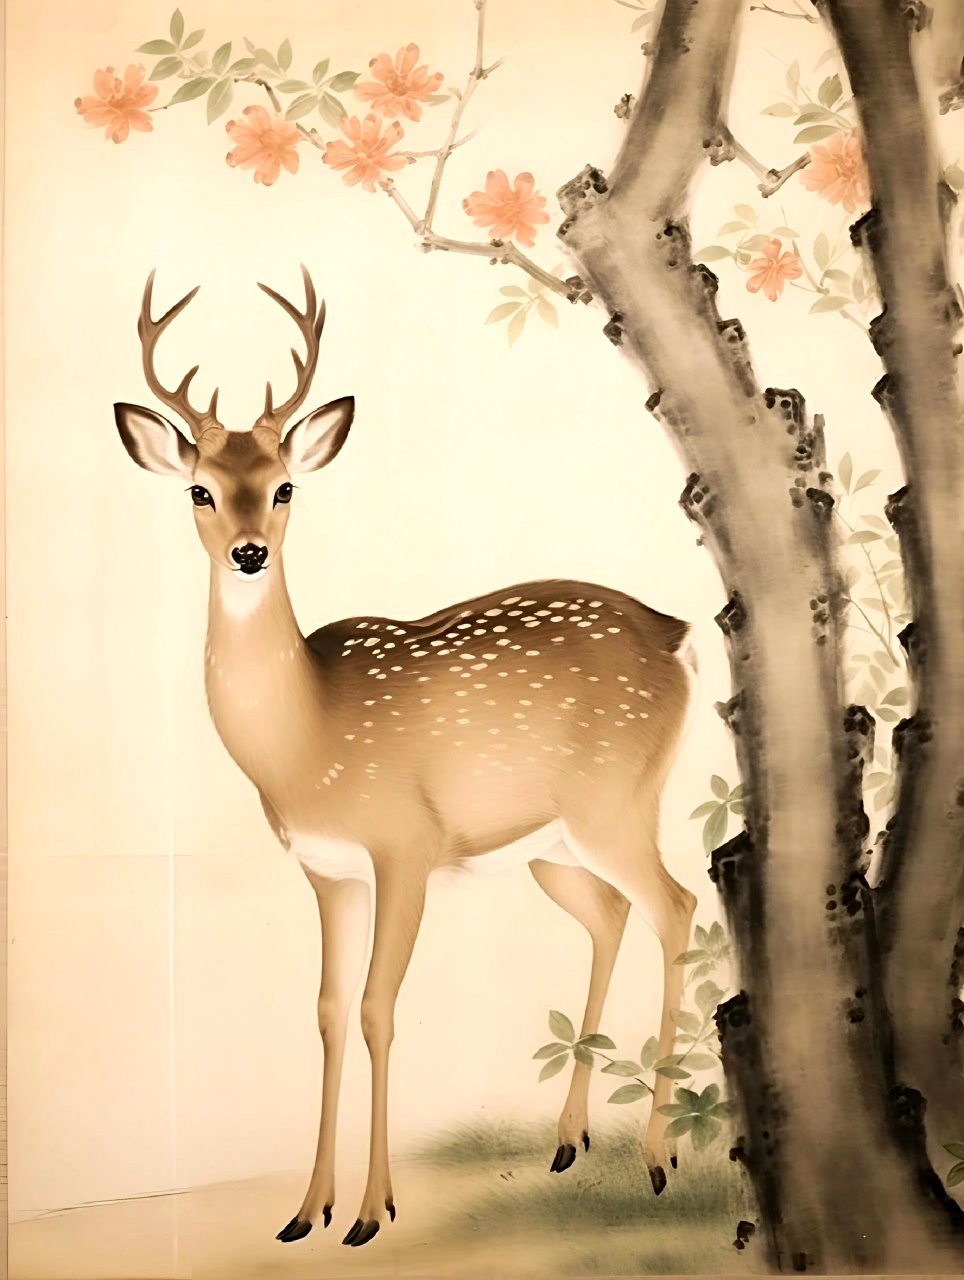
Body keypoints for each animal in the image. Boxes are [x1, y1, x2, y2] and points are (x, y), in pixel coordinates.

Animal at [114, 265, 698, 1249]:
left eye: (284, 488)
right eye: (198, 490)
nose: (247, 552)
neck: (309, 735)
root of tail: (676, 633)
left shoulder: (406, 847)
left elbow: (378, 1008)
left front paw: (370, 1211)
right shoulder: (327, 870)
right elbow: (325, 1013)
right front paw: (305, 1210)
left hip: (617, 803)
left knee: (678, 905)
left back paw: (659, 1156)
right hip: (550, 846)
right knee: (612, 915)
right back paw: (569, 1139)